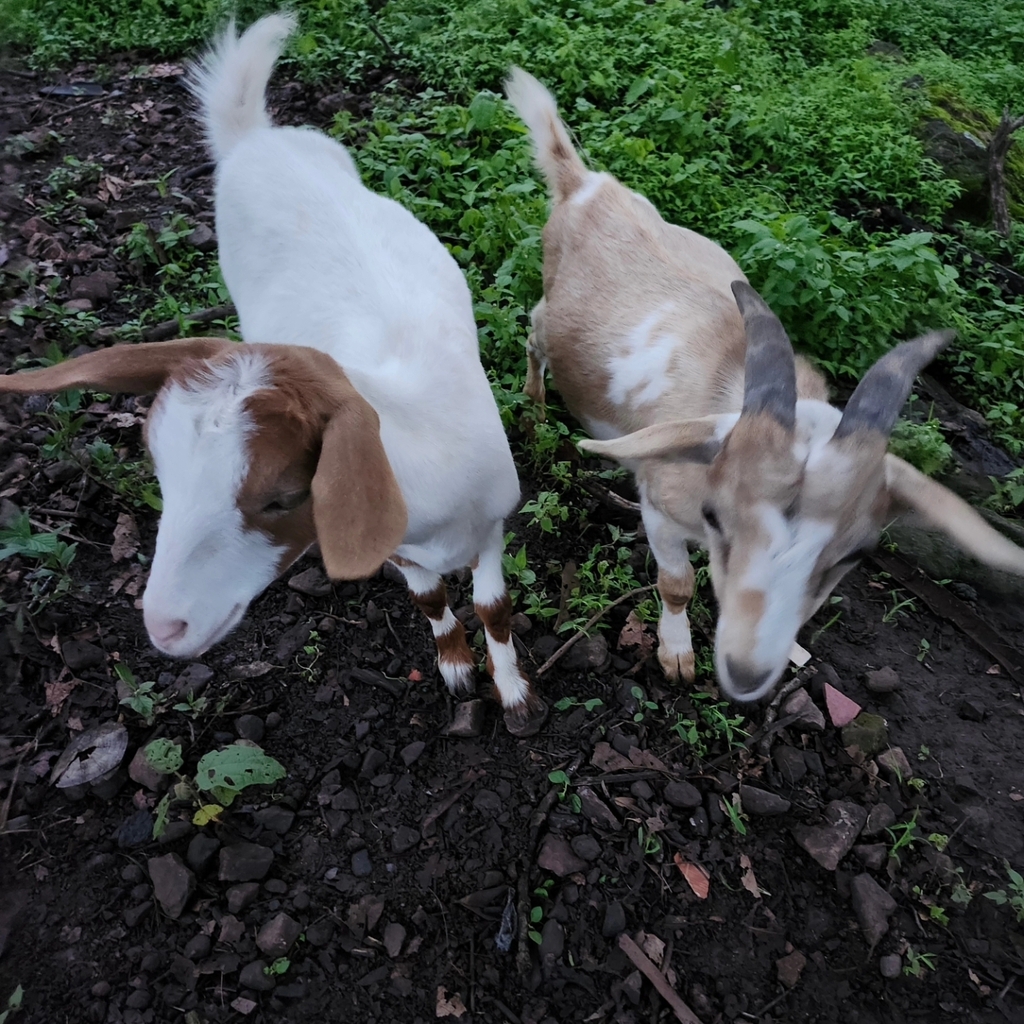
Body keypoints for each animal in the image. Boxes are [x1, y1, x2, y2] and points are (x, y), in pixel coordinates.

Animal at [0, 15, 547, 736]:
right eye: (161, 472)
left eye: (285, 495)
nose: (166, 628)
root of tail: (254, 137)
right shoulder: (394, 543)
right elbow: (431, 601)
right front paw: (457, 670)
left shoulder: (490, 522)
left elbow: (494, 608)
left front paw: (514, 696)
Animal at [505, 67, 1024, 703]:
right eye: (716, 515)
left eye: (855, 553)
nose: (748, 672)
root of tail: (584, 185)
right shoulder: (659, 500)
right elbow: (676, 583)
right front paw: (678, 658)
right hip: (549, 308)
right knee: (533, 334)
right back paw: (533, 407)